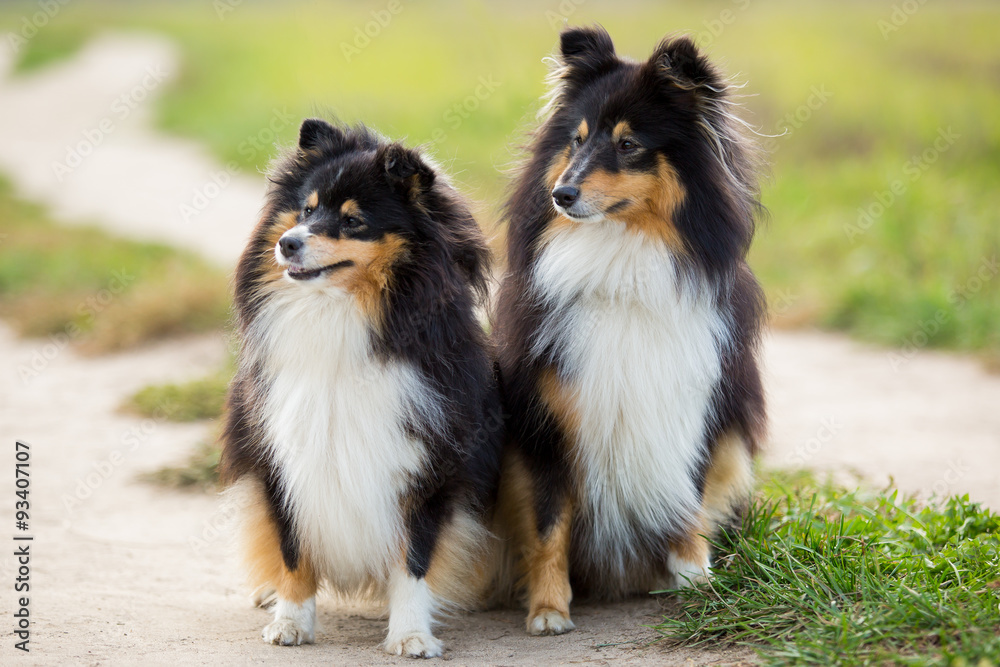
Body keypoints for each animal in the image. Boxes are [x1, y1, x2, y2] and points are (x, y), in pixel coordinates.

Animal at [219, 118, 500, 656]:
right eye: (307, 209)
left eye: (353, 221)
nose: (287, 243)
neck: (341, 313)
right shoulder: (283, 456)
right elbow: (292, 550)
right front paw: (290, 624)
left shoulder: (428, 461)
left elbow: (414, 559)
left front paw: (411, 635)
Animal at [492, 27, 764, 636]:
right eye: (576, 140)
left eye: (629, 144)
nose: (561, 195)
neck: (622, 264)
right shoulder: (546, 419)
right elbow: (548, 523)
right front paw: (548, 610)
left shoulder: (694, 402)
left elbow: (687, 496)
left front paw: (695, 579)